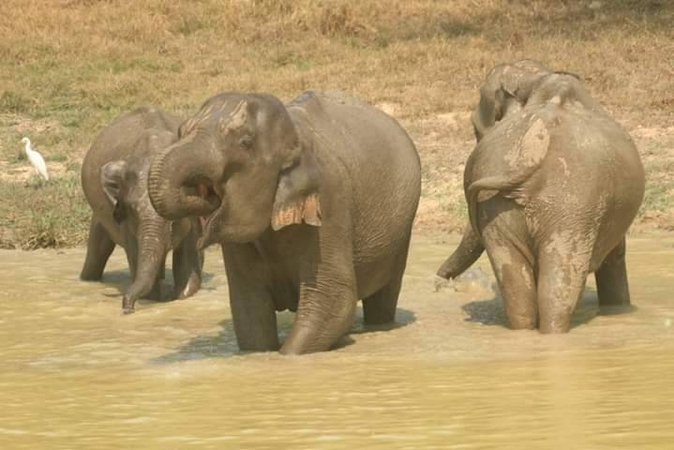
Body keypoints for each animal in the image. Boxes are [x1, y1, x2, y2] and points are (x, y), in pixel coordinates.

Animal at [80, 106, 203, 313]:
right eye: (132, 209)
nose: (127, 308)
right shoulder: (123, 216)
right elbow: (135, 253)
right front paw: (152, 300)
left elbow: (188, 258)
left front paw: (181, 297)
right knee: (98, 248)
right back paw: (87, 280)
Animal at [147, 90, 421, 354]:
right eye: (181, 131)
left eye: (245, 143)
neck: (295, 136)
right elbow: (249, 309)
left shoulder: (331, 200)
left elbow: (333, 298)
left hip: (401, 232)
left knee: (384, 296)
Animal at [437, 60, 645, 333]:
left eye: (474, 128)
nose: (441, 283)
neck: (537, 80)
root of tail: (531, 150)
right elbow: (615, 255)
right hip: (572, 211)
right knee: (558, 286)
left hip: (509, 208)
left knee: (519, 289)